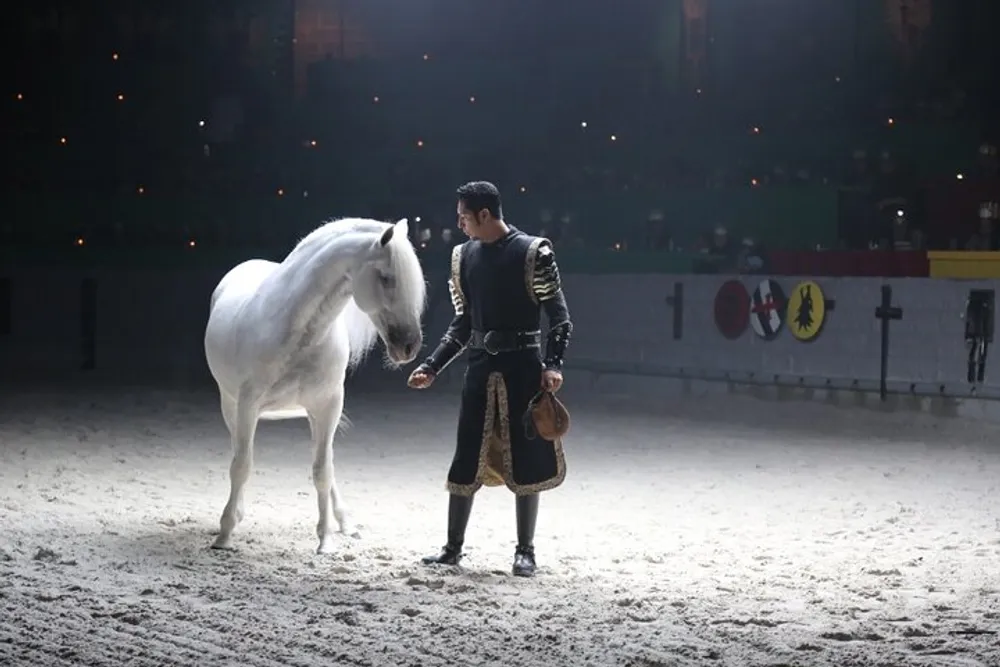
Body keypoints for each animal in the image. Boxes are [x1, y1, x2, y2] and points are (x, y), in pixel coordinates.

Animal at [203, 218, 426, 552]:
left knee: (324, 461)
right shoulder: (247, 405)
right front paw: (225, 533)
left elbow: (323, 471)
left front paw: (325, 540)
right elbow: (242, 465)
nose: (409, 347)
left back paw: (345, 522)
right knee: (238, 454)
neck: (300, 333)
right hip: (230, 405)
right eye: (387, 278)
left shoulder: (328, 405)